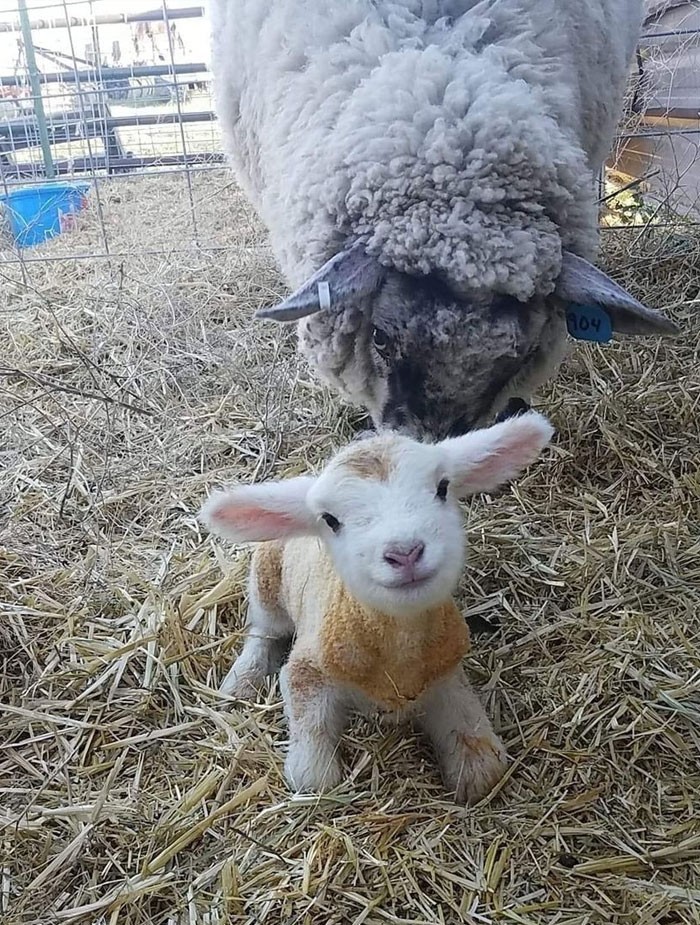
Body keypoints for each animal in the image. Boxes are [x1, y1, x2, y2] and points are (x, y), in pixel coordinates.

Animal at [200, 412, 556, 800]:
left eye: (443, 487)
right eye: (330, 519)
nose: (405, 552)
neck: (398, 651)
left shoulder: (445, 672)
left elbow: (482, 759)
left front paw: (472, 768)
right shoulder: (308, 671)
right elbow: (313, 776)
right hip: (266, 578)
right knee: (264, 630)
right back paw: (243, 679)